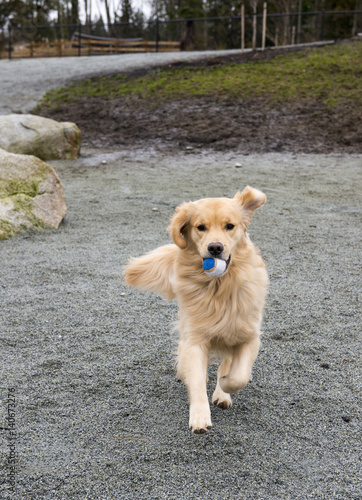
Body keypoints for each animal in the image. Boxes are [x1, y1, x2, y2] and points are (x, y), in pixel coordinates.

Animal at [123, 188, 268, 434]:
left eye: (230, 226)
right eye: (201, 227)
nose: (215, 247)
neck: (219, 286)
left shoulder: (249, 335)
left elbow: (239, 375)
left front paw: (225, 386)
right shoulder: (195, 340)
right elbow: (198, 379)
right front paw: (200, 416)